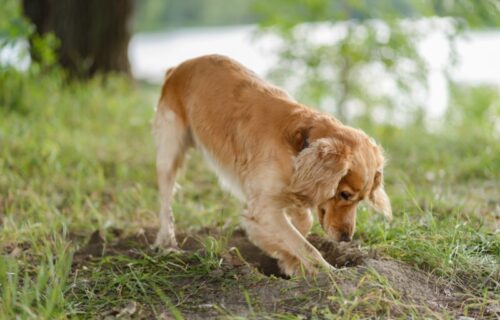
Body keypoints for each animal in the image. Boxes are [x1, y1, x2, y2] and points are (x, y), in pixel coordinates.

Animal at [152, 55, 390, 276]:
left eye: (361, 200)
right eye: (345, 195)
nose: (346, 238)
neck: (299, 146)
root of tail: (179, 67)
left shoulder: (292, 191)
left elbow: (303, 224)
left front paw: (288, 261)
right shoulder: (264, 208)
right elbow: (305, 246)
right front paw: (326, 272)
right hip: (169, 152)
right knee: (165, 203)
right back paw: (167, 242)